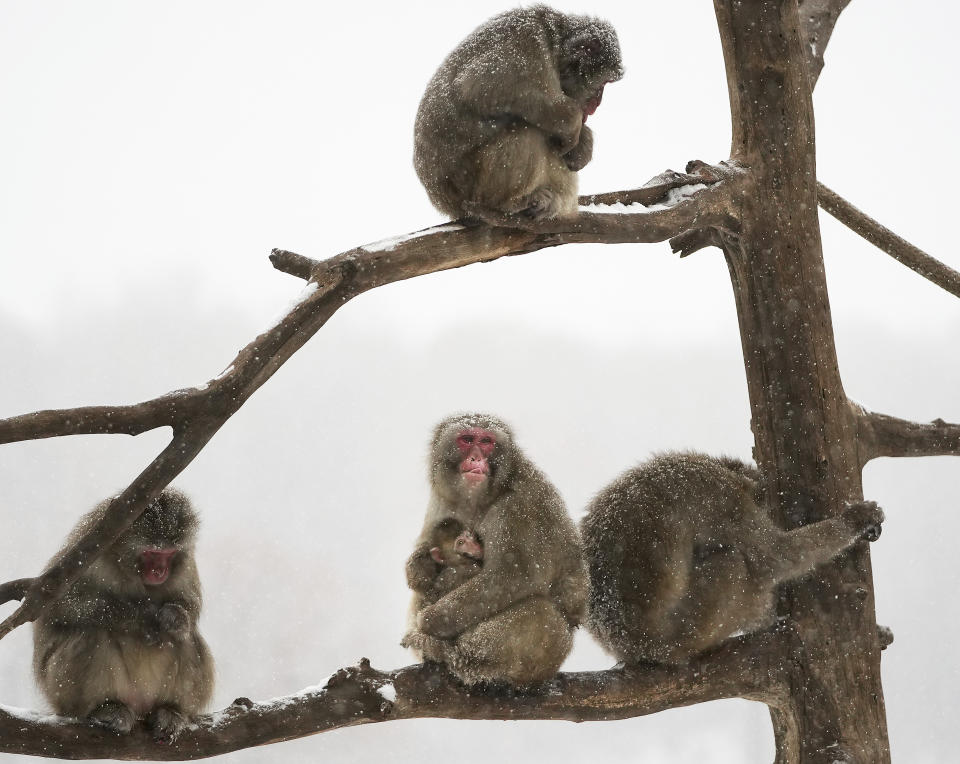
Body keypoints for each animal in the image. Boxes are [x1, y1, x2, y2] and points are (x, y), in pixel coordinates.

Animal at [33, 486, 216, 744]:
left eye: (169, 553)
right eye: (151, 553)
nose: (160, 571)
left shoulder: (186, 563)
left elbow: (189, 606)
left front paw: (175, 616)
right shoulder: (85, 553)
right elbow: (57, 606)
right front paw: (145, 619)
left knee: (185, 638)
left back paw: (172, 711)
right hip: (60, 694)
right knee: (92, 633)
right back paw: (105, 709)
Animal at [402, 414, 588, 688]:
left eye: (486, 442)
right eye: (467, 439)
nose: (476, 459)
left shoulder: (517, 505)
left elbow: (512, 575)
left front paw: (429, 621)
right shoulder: (442, 498)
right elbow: (426, 554)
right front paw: (419, 566)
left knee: (542, 614)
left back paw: (456, 657)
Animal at [414, 4, 628, 222]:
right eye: (604, 83)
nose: (597, 103)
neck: (553, 45)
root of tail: (444, 203)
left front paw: (584, 144)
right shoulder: (528, 46)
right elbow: (479, 87)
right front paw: (573, 126)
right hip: (468, 186)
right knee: (525, 131)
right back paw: (505, 204)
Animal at [576, 454, 884, 664]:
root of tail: (632, 646)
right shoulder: (729, 502)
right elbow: (776, 557)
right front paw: (854, 521)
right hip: (690, 625)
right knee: (734, 563)